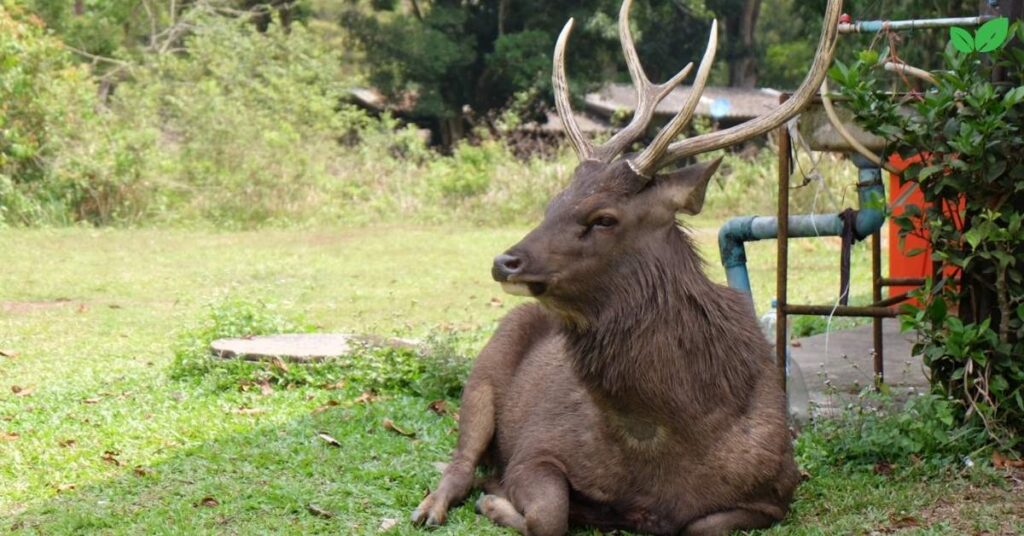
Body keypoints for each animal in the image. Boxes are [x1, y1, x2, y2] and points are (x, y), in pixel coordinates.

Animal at [407, 2, 839, 532]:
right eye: (553, 203)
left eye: (603, 218)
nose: (505, 261)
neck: (662, 441)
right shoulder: (536, 446)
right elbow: (549, 513)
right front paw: (497, 501)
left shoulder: (778, 487)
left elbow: (700, 524)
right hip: (483, 373)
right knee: (460, 462)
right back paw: (432, 506)